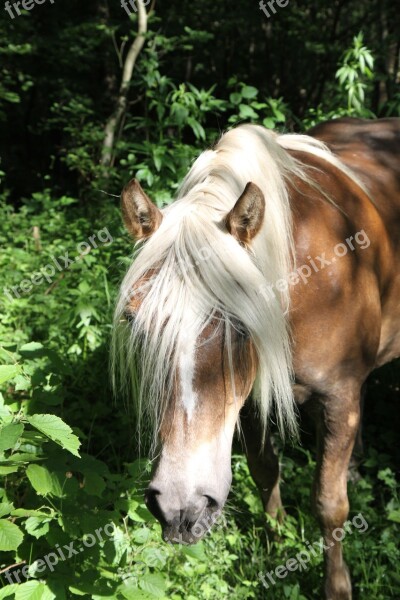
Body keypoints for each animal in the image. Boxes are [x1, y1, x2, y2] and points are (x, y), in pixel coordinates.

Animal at [111, 118, 400, 600]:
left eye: (244, 326)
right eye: (134, 321)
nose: (179, 508)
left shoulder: (338, 396)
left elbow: (330, 503)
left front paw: (337, 586)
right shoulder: (249, 405)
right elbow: (266, 471)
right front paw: (275, 542)